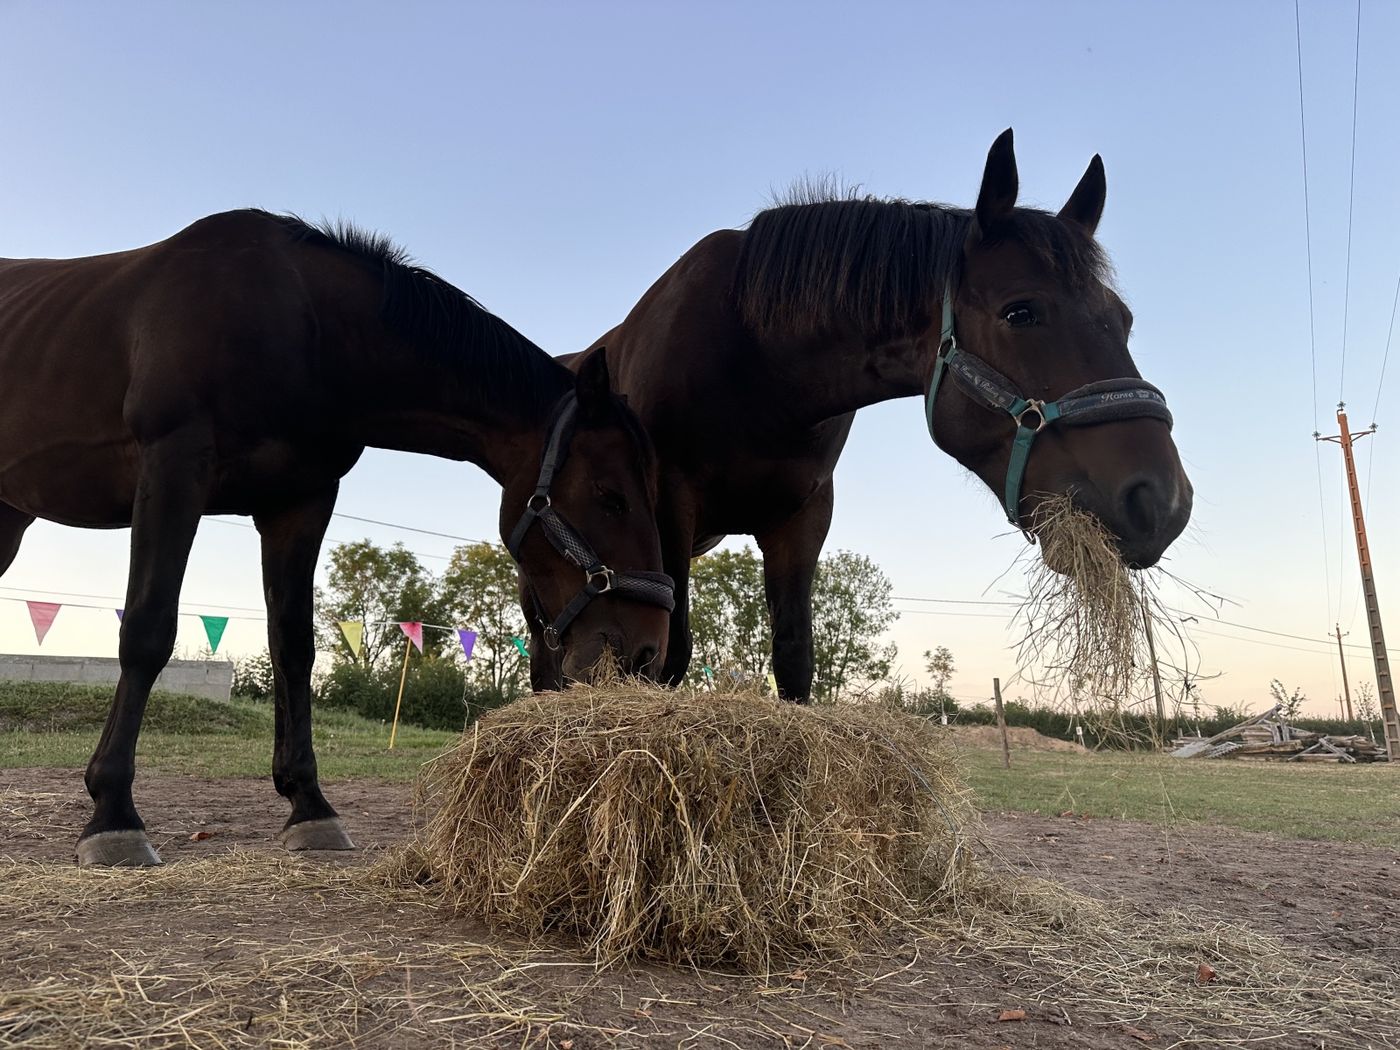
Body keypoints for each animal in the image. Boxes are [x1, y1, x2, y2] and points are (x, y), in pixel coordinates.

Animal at [0, 210, 673, 866]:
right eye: (610, 496)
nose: (647, 651)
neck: (301, 326)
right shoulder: (173, 469)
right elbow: (147, 631)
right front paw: (113, 812)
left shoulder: (300, 501)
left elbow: (294, 645)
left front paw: (309, 806)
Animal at [548, 129, 1192, 702]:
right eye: (1021, 312)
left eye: (1124, 319)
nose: (1161, 503)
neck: (755, 364)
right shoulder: (669, 512)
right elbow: (671, 658)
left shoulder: (801, 519)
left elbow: (795, 661)